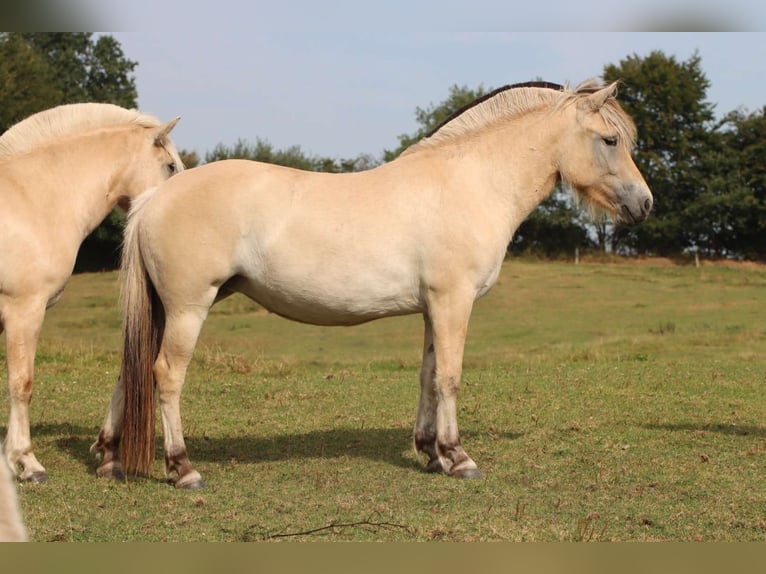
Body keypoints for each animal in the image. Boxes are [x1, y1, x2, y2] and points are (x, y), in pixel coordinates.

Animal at [93, 81, 652, 488]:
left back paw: (109, 458)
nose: (643, 203)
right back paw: (182, 468)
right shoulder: (453, 303)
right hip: (188, 307)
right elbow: (450, 378)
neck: (470, 182)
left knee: (130, 371)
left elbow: (428, 376)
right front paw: (459, 458)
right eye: (610, 140)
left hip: (161, 309)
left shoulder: (433, 308)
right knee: (165, 375)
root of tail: (154, 198)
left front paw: (430, 454)